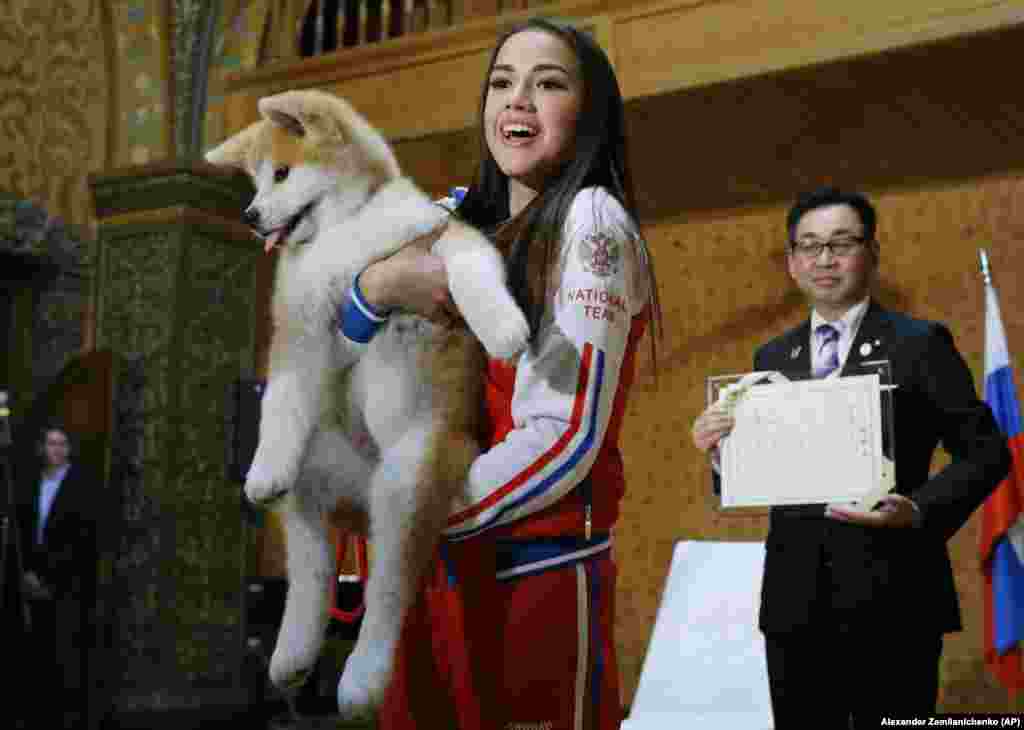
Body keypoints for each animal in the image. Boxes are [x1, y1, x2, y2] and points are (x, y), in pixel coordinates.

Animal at [204, 89, 532, 716]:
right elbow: (282, 401)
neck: (344, 233)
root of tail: (363, 490)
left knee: (387, 589)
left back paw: (362, 678)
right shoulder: (302, 324)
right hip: (319, 469)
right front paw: (262, 467)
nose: (251, 216)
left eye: (280, 174)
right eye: (254, 182)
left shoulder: (439, 240)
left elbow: (471, 267)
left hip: (411, 470)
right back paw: (293, 652)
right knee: (313, 567)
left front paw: (503, 327)